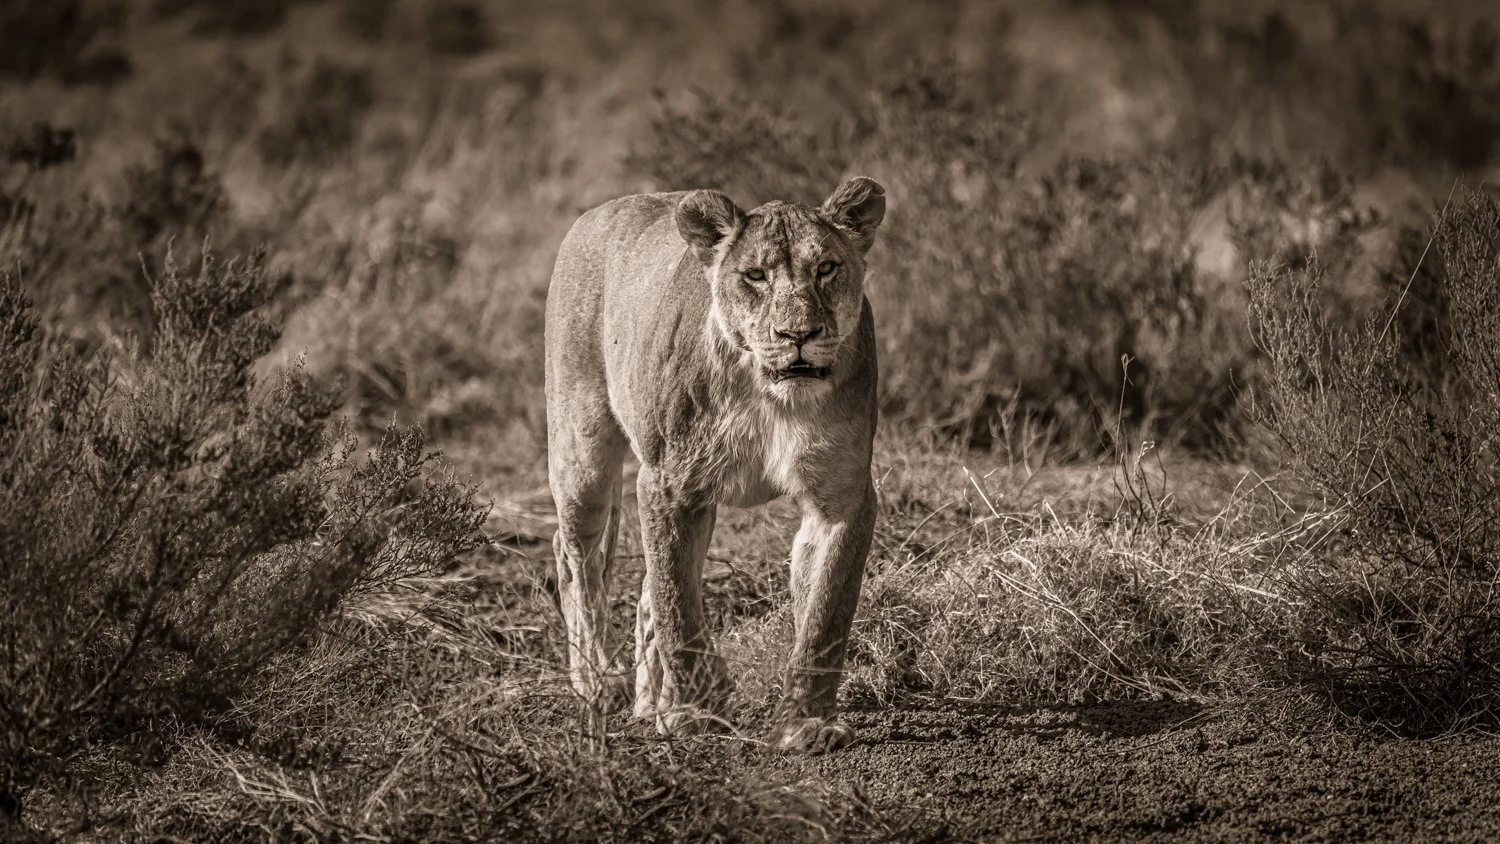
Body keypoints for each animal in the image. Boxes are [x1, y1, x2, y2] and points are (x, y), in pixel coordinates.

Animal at [544, 176, 885, 754]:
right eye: (755, 275)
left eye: (826, 268)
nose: (798, 334)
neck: (772, 397)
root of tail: (597, 212)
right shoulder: (668, 483)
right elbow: (678, 605)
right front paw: (692, 711)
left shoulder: (842, 495)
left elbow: (826, 612)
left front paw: (806, 723)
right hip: (580, 449)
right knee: (576, 561)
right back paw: (600, 682)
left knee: (645, 588)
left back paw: (647, 702)